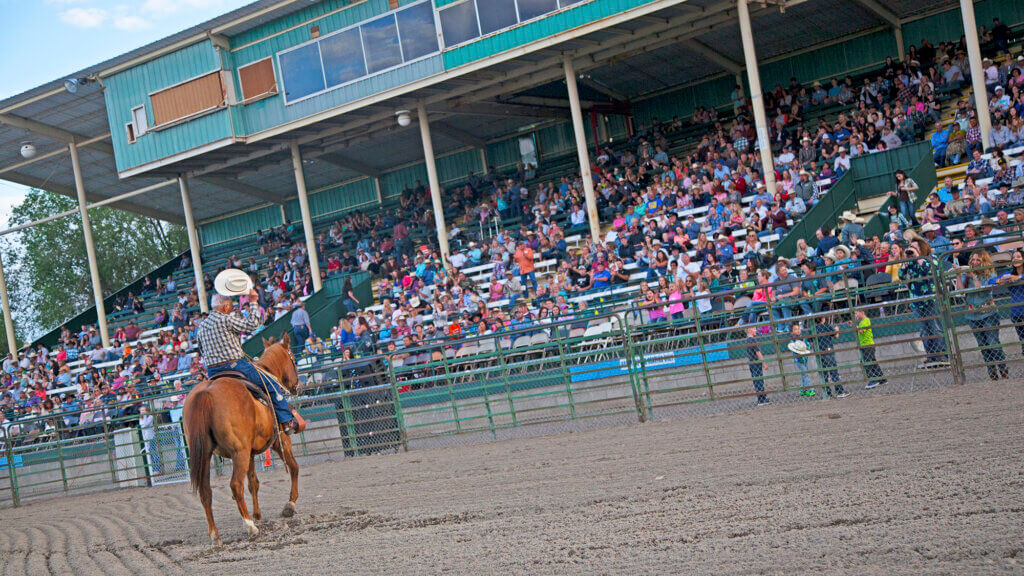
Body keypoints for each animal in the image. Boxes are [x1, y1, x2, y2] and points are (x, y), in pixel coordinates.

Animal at [184, 332, 299, 541]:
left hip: (208, 455)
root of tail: (206, 392)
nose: (297, 386)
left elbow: (253, 482)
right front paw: (290, 505)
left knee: (206, 491)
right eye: (293, 359)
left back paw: (215, 534)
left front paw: (258, 515)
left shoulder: (251, 454)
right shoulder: (280, 441)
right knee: (235, 485)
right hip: (240, 452)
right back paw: (250, 526)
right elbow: (293, 467)